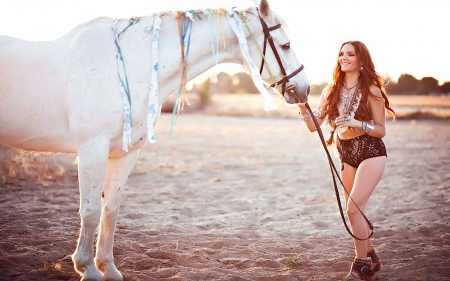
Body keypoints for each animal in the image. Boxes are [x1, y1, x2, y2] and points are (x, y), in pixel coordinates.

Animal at [0, 1, 310, 278]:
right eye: (285, 46)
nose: (305, 89)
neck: (127, 66)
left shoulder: (124, 154)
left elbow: (110, 210)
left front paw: (107, 267)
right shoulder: (92, 150)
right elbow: (90, 211)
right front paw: (87, 268)